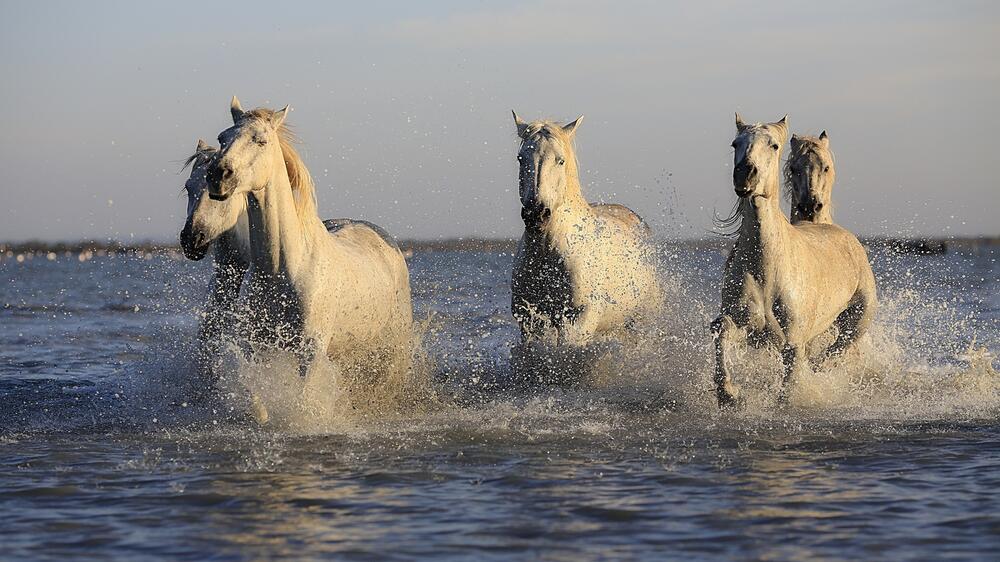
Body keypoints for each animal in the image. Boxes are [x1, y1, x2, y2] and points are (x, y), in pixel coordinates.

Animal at [207, 97, 414, 398]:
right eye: (222, 137)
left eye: (261, 140)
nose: (218, 175)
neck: (280, 268)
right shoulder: (255, 346)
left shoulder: (310, 352)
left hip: (394, 345)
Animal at [512, 111, 660, 376]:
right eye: (521, 158)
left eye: (560, 161)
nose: (536, 214)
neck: (548, 253)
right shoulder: (530, 320)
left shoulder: (578, 319)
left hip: (642, 319)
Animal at [712, 114, 876, 404]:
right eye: (735, 144)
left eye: (774, 145)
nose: (745, 175)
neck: (767, 267)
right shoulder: (743, 323)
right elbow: (723, 332)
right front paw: (728, 393)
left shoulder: (792, 341)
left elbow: (790, 384)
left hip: (857, 320)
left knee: (836, 350)